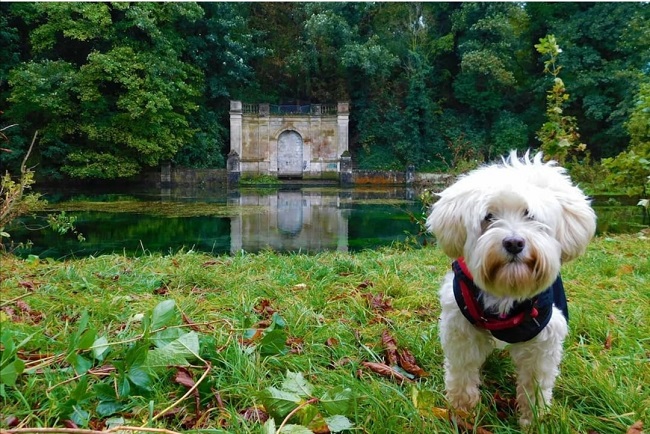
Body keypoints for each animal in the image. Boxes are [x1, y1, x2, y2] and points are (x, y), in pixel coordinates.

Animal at [426, 151, 596, 426]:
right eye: (489, 217)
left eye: (531, 215)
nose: (514, 242)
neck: (508, 289)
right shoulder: (460, 328)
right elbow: (462, 371)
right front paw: (462, 410)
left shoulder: (544, 338)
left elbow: (535, 383)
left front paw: (534, 419)